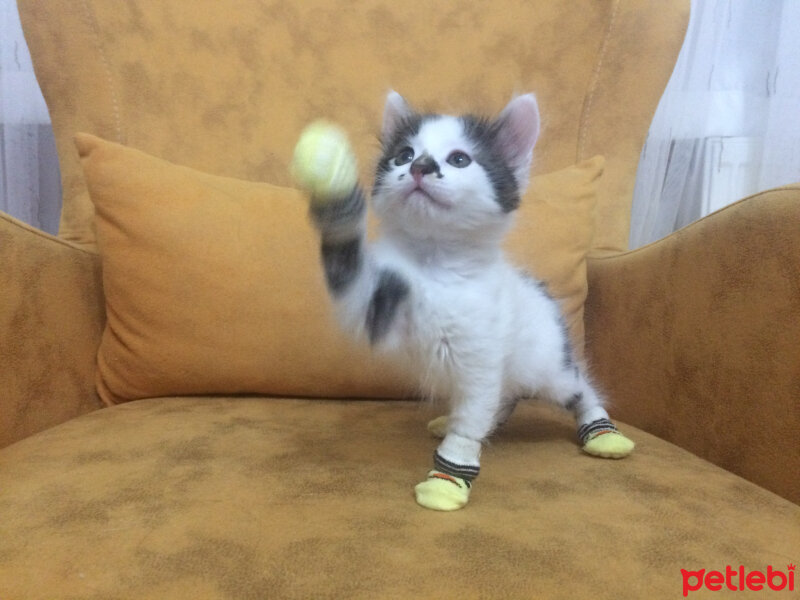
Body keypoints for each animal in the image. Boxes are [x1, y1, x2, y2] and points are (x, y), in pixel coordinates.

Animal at [306, 91, 632, 508]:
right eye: (404, 155)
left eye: (459, 159)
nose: (420, 166)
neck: (434, 261)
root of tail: (541, 293)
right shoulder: (375, 309)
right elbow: (352, 273)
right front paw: (336, 198)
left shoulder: (480, 357)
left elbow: (469, 426)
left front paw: (447, 479)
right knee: (503, 398)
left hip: (546, 367)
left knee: (578, 388)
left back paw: (602, 432)